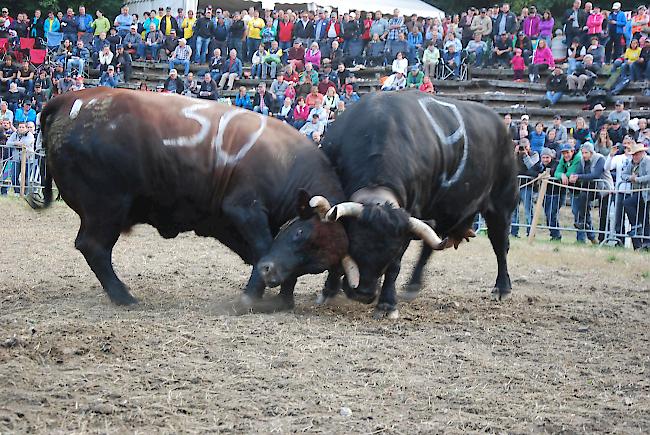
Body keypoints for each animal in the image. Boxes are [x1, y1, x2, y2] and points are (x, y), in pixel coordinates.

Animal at [36, 87, 354, 308]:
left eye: (317, 261)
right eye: (301, 233)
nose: (272, 276)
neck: (286, 162)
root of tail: (71, 99)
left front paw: (282, 298)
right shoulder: (245, 210)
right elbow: (265, 247)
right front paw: (252, 295)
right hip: (107, 207)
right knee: (93, 247)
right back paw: (124, 296)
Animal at [258, 91, 516, 316]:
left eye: (392, 251)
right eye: (355, 245)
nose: (363, 293)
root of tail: (501, 126)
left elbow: (395, 268)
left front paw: (387, 304)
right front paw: (329, 291)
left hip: (502, 205)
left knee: (500, 245)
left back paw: (502, 288)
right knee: (429, 248)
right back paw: (413, 285)